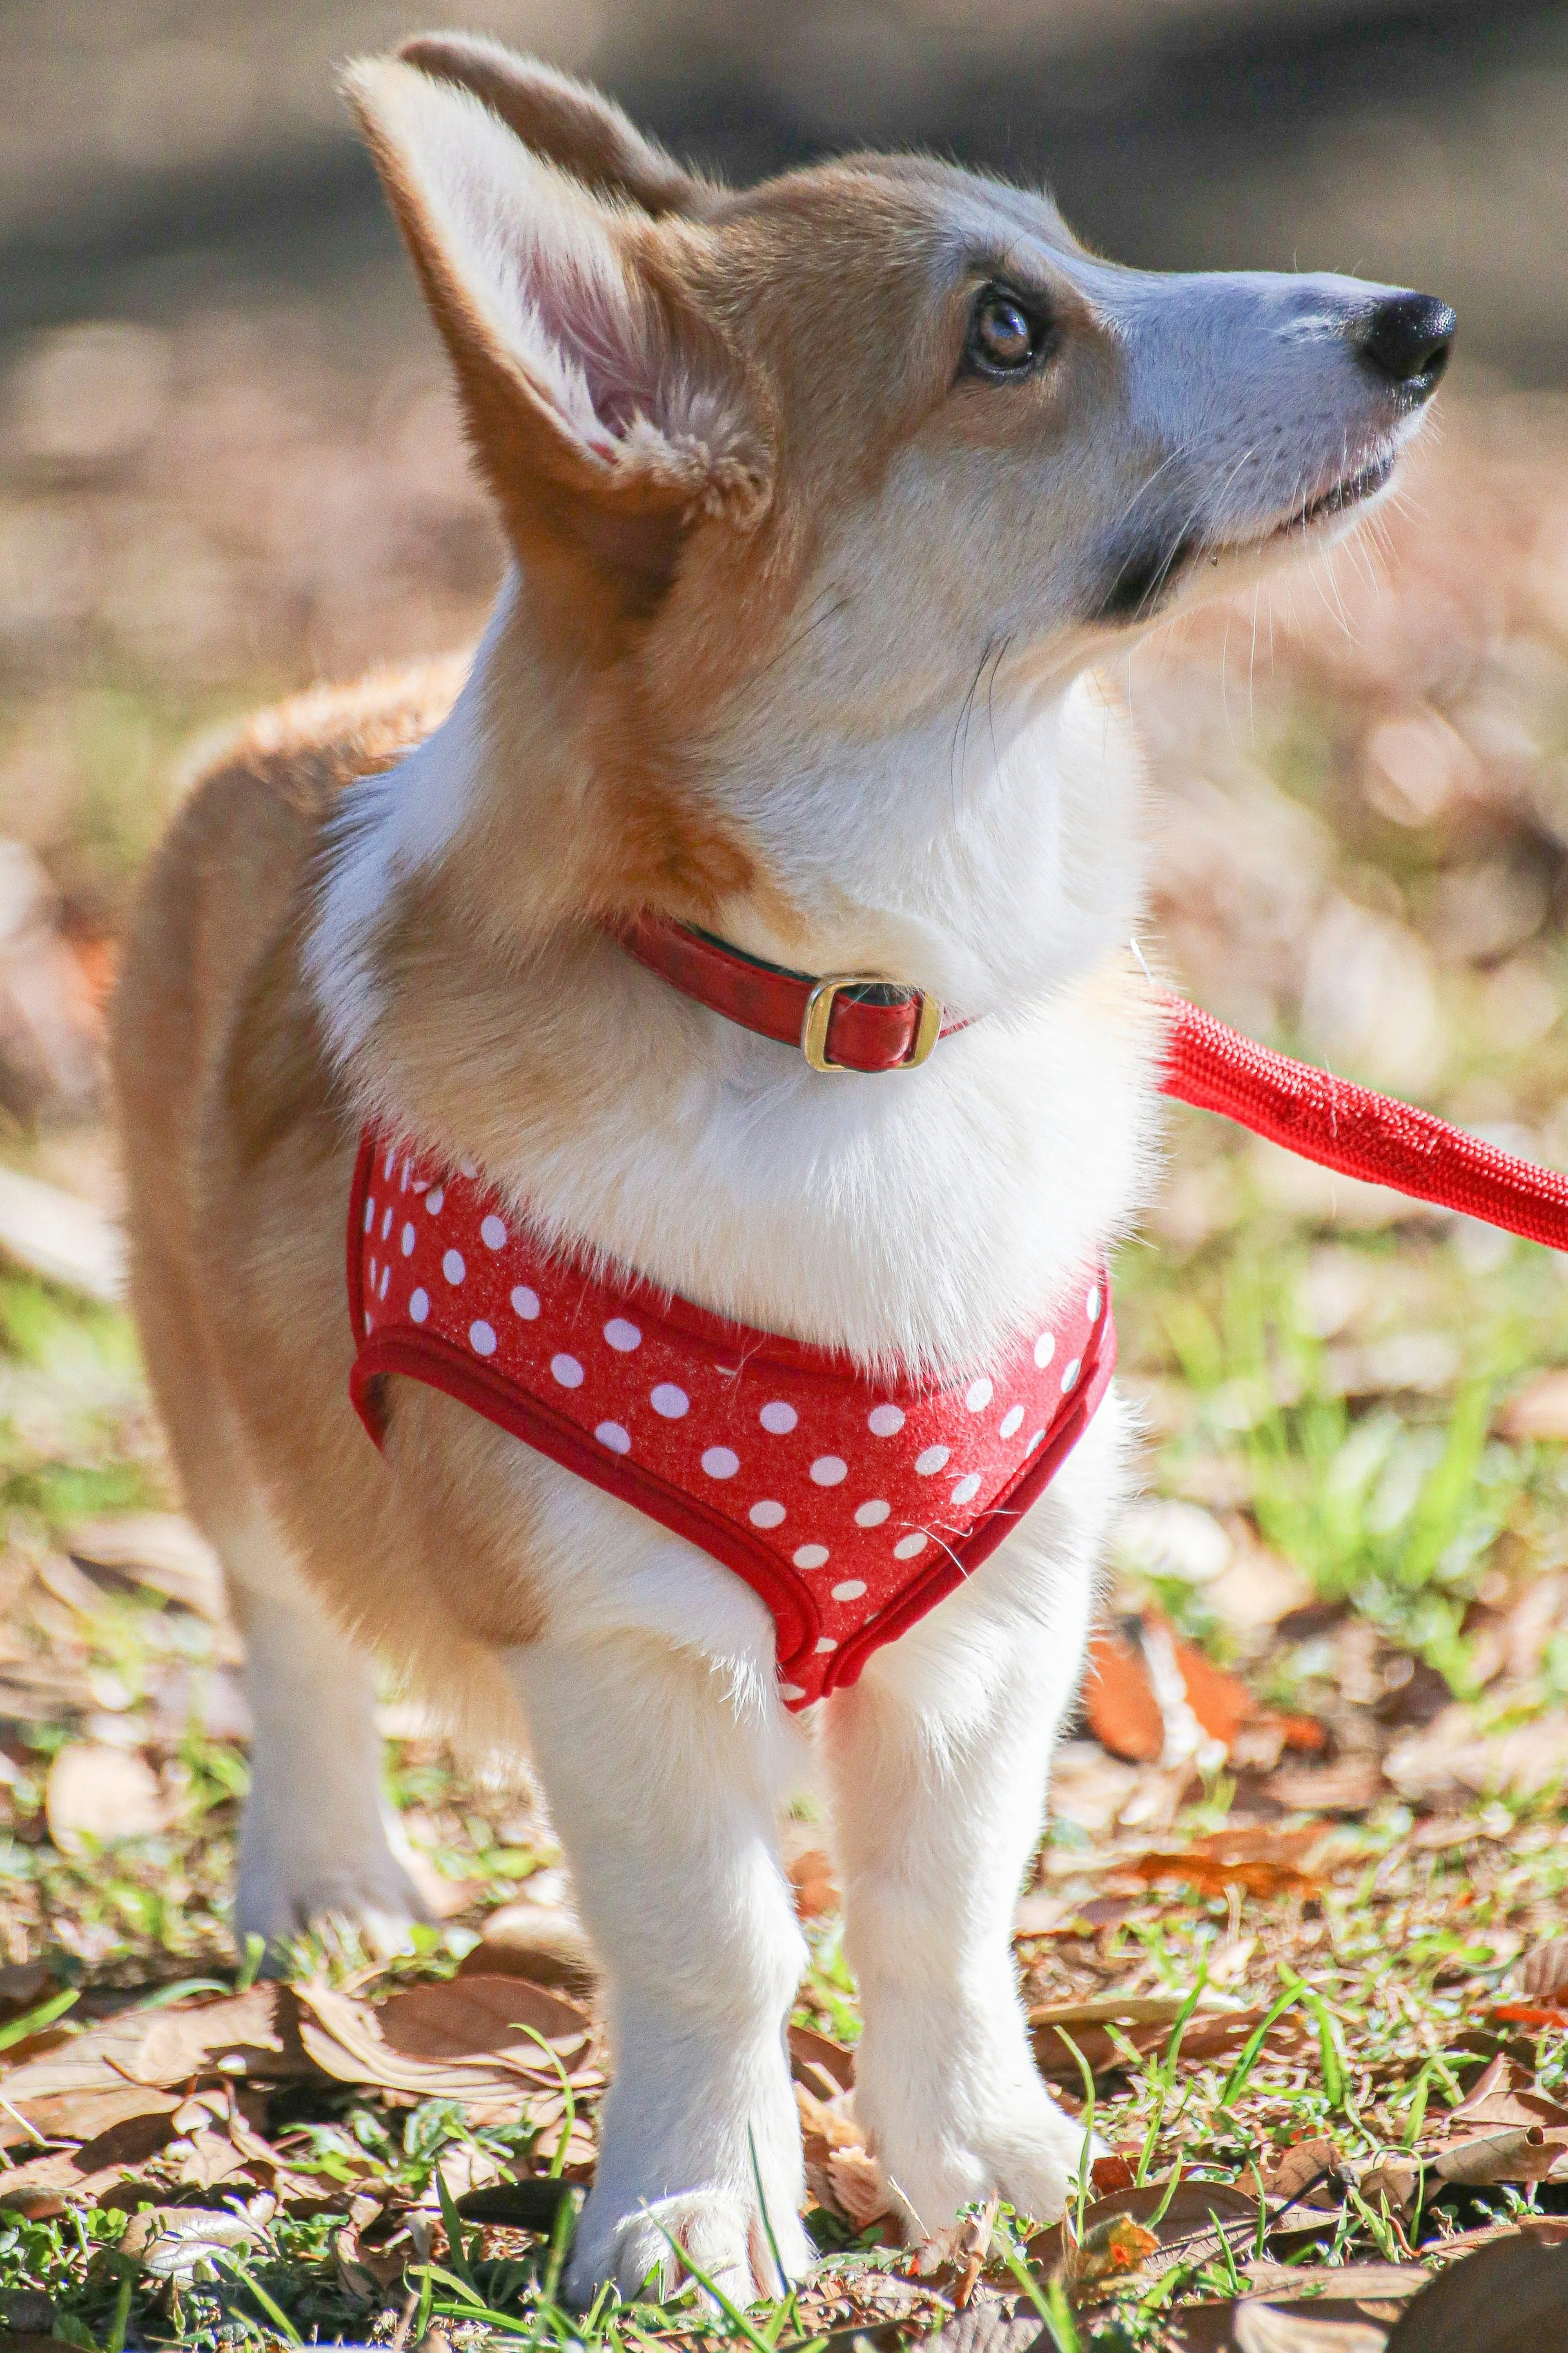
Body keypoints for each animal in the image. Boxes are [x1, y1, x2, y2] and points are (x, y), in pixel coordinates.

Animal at [116, 32, 1457, 2315]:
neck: (854, 1004)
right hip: (216, 1391)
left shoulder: (1000, 1623)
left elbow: (941, 1914)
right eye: (1004, 332)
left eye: (1075, 250)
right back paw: (331, 1876)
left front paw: (982, 2167)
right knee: (287, 1613)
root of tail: (285, 722)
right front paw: (693, 2217)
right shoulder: (616, 1641)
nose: (1425, 324)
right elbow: (719, 1942)